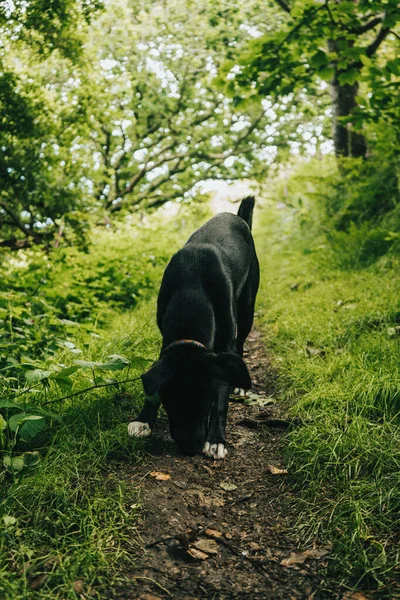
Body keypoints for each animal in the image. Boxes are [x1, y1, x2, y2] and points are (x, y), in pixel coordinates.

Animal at [128, 197, 260, 460]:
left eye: (205, 404)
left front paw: (216, 440)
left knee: (240, 346)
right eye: (172, 405)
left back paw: (239, 385)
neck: (192, 288)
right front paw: (144, 419)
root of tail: (238, 217)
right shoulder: (166, 342)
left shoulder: (223, 347)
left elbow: (222, 397)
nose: (191, 448)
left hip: (247, 309)